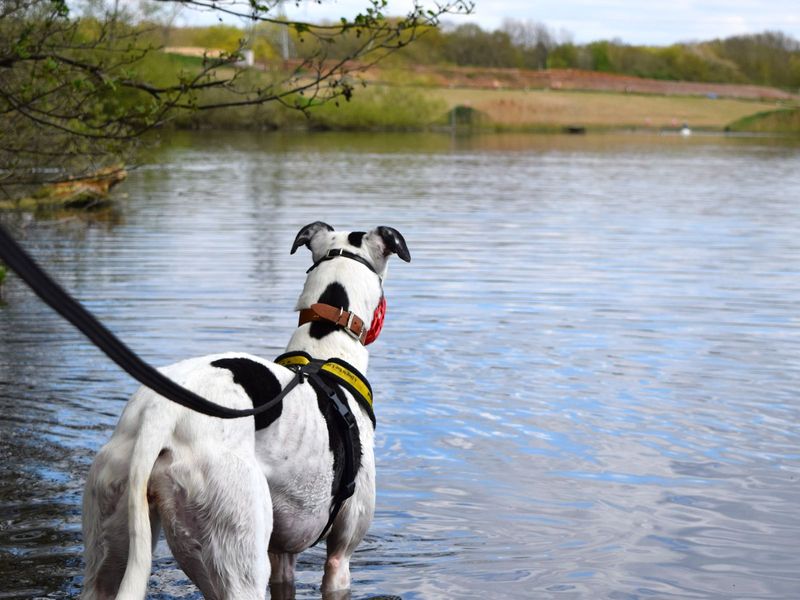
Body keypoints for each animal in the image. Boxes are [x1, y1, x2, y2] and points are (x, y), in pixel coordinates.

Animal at [80, 223, 410, 596]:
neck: (325, 351)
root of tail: (160, 412)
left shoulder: (282, 555)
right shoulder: (340, 557)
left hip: (110, 537)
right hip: (237, 552)